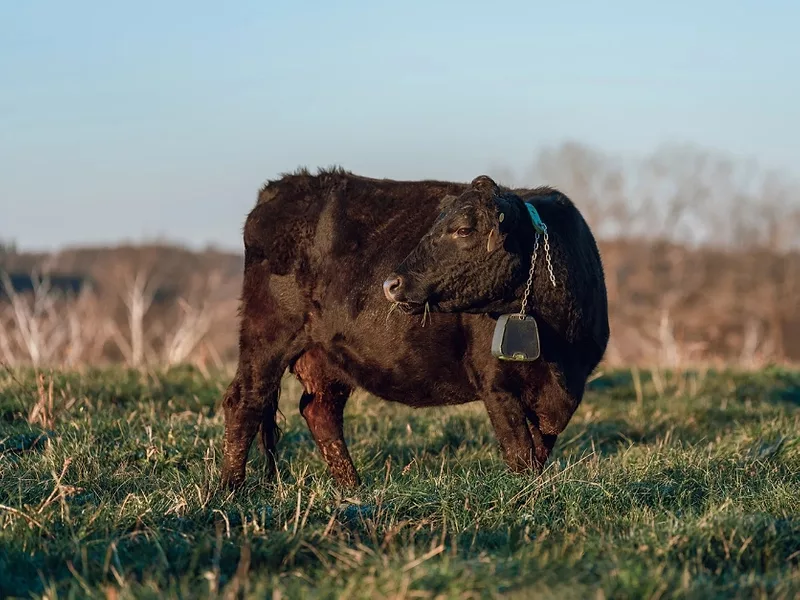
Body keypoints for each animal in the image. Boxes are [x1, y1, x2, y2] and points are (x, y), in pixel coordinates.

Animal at [219, 167, 609, 490]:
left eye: (463, 229)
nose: (392, 283)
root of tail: (281, 187)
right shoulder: (496, 385)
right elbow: (520, 453)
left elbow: (538, 452)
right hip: (266, 336)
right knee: (245, 401)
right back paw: (231, 489)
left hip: (326, 356)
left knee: (320, 411)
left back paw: (353, 489)